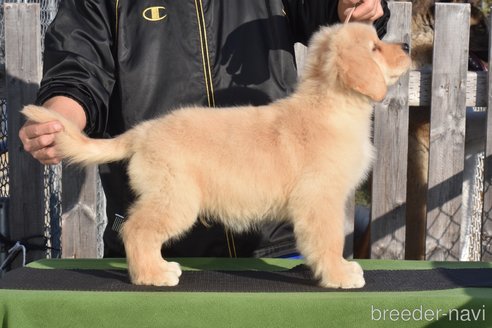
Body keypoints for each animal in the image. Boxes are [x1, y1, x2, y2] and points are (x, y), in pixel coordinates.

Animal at [23, 23, 410, 288]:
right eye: (375, 47)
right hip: (176, 197)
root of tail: (143, 131)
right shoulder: (320, 199)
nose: (407, 44)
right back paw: (153, 274)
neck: (332, 106)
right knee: (136, 230)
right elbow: (329, 240)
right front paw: (340, 274)